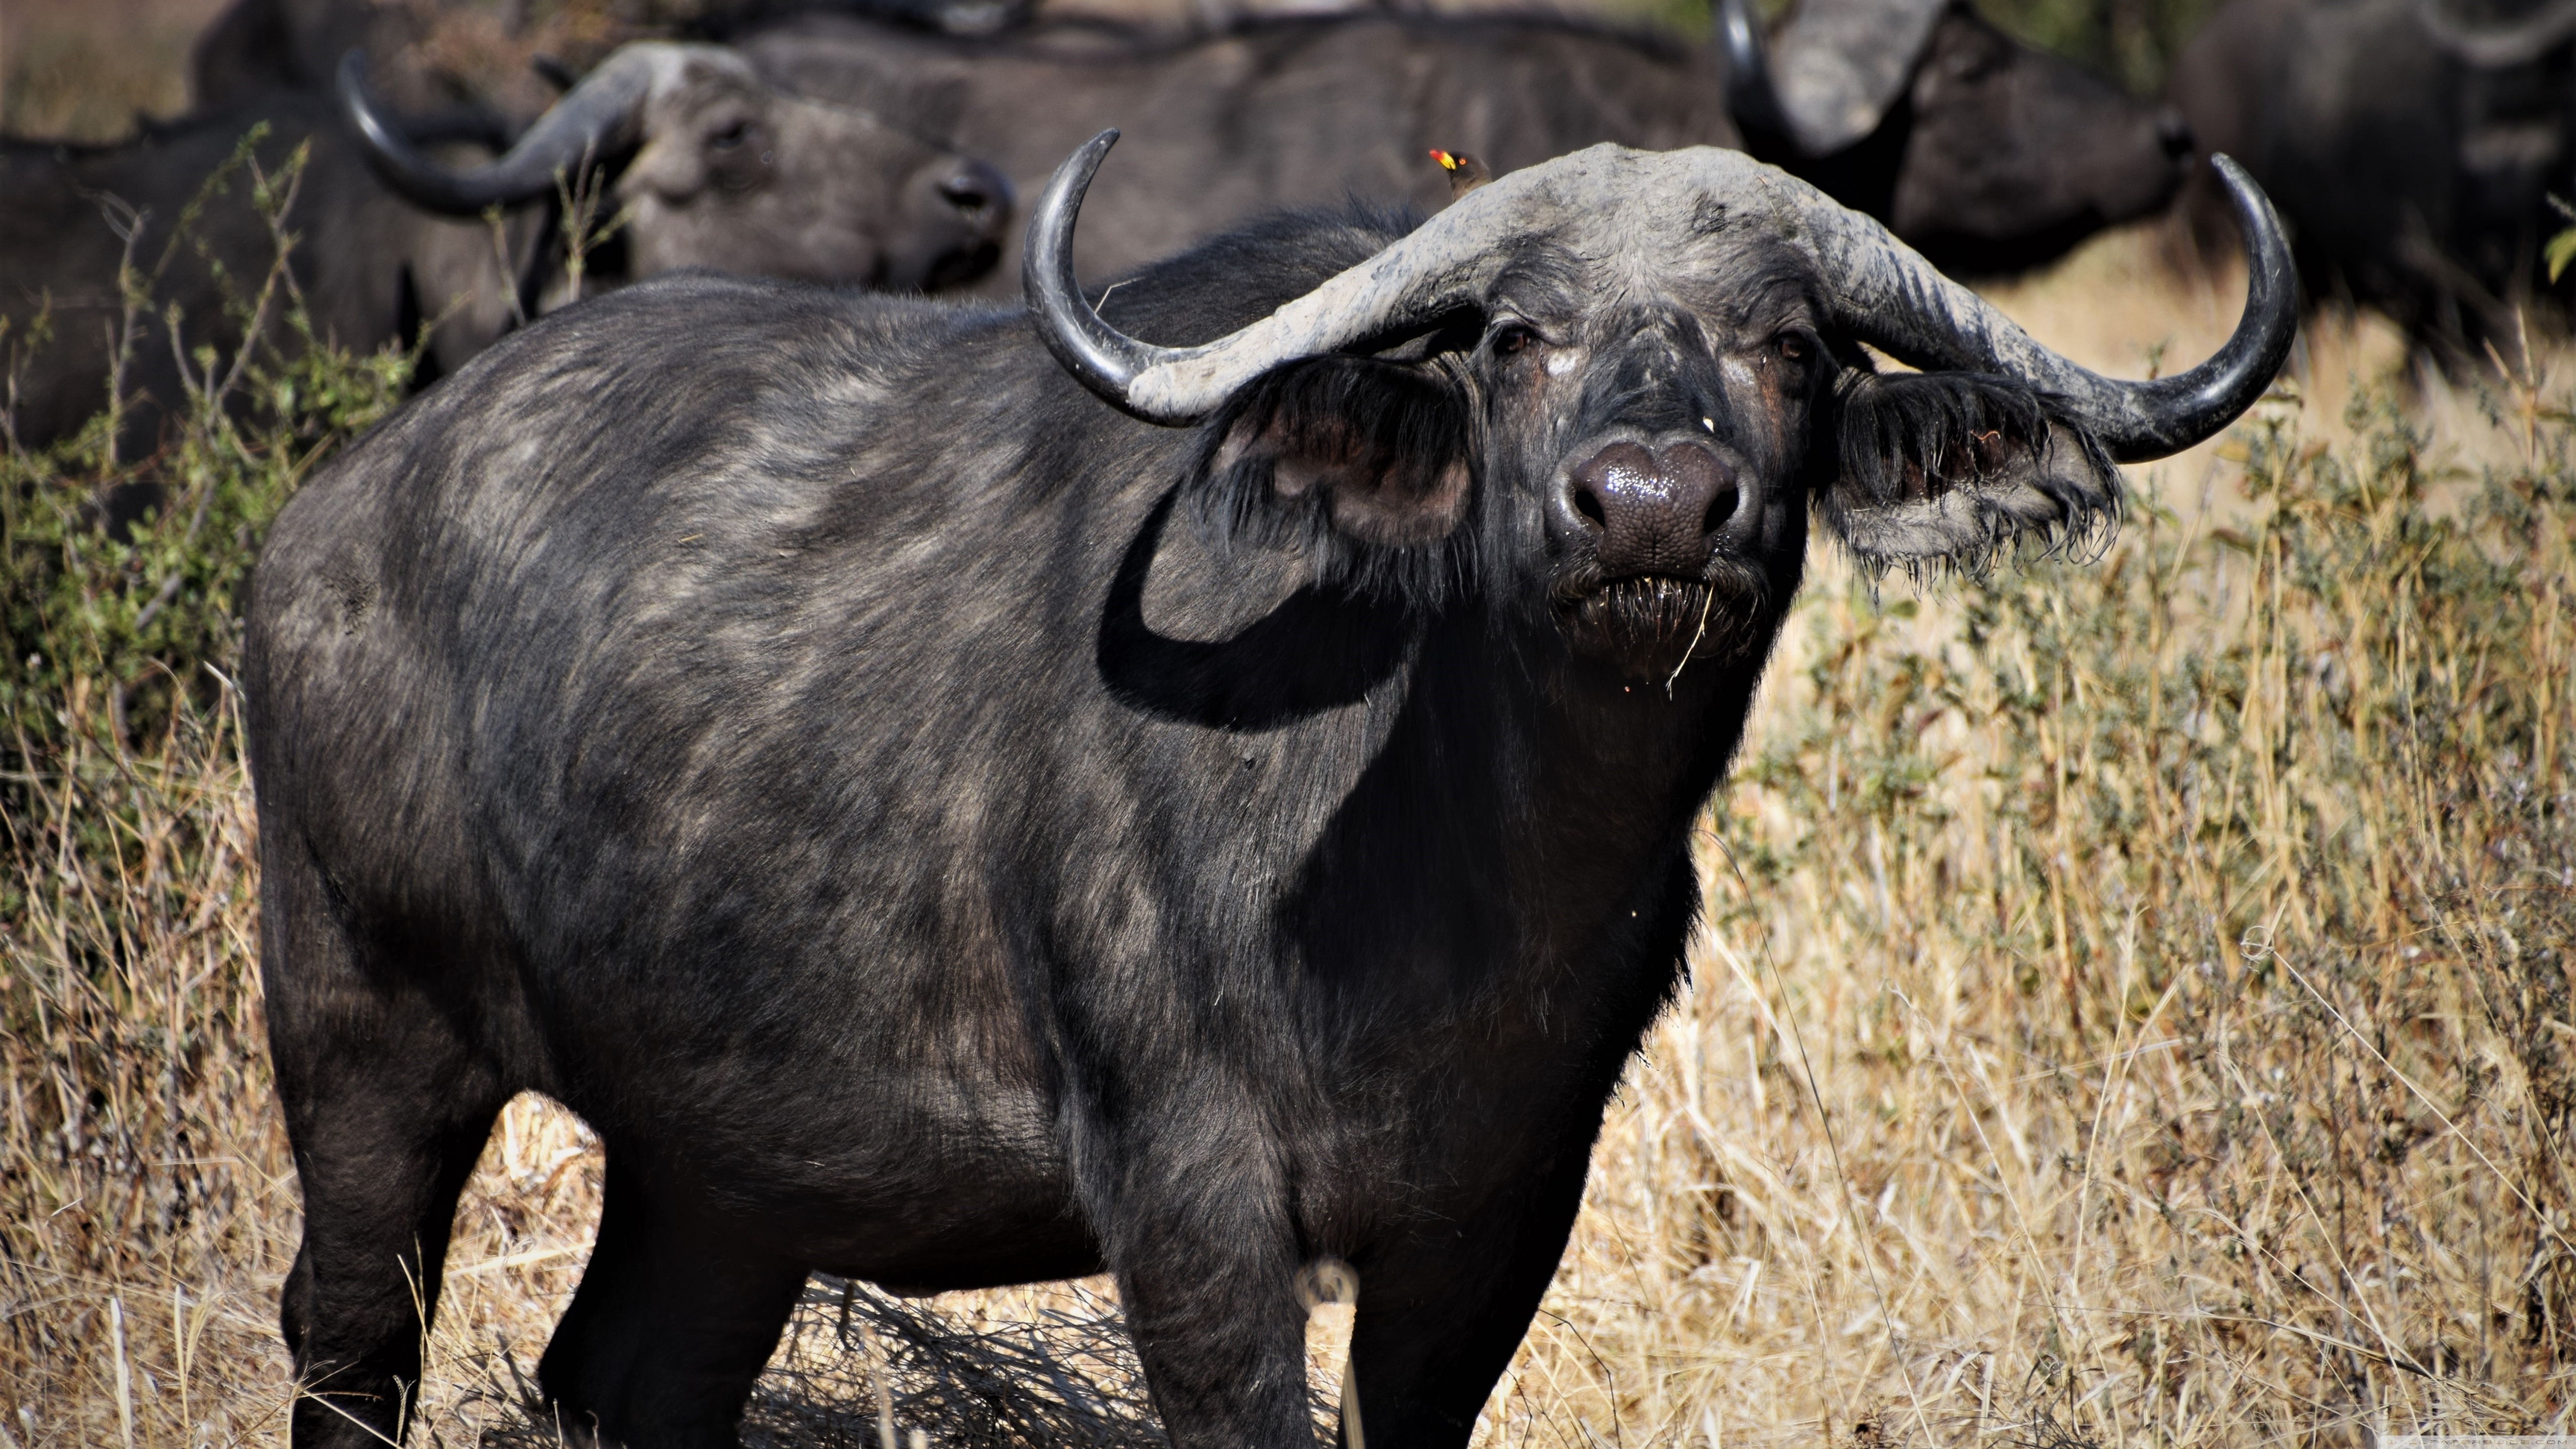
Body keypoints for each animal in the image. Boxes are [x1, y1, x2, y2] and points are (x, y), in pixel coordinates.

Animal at [247, 134, 2291, 1449]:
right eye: (1511, 338)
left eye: (1789, 345)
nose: (1649, 507)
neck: (1448, 879)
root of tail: (331, 517)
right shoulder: (1188, 1204)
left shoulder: (1497, 1216)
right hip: (362, 1030)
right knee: (350, 1339)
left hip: (719, 1169)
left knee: (619, 1380)